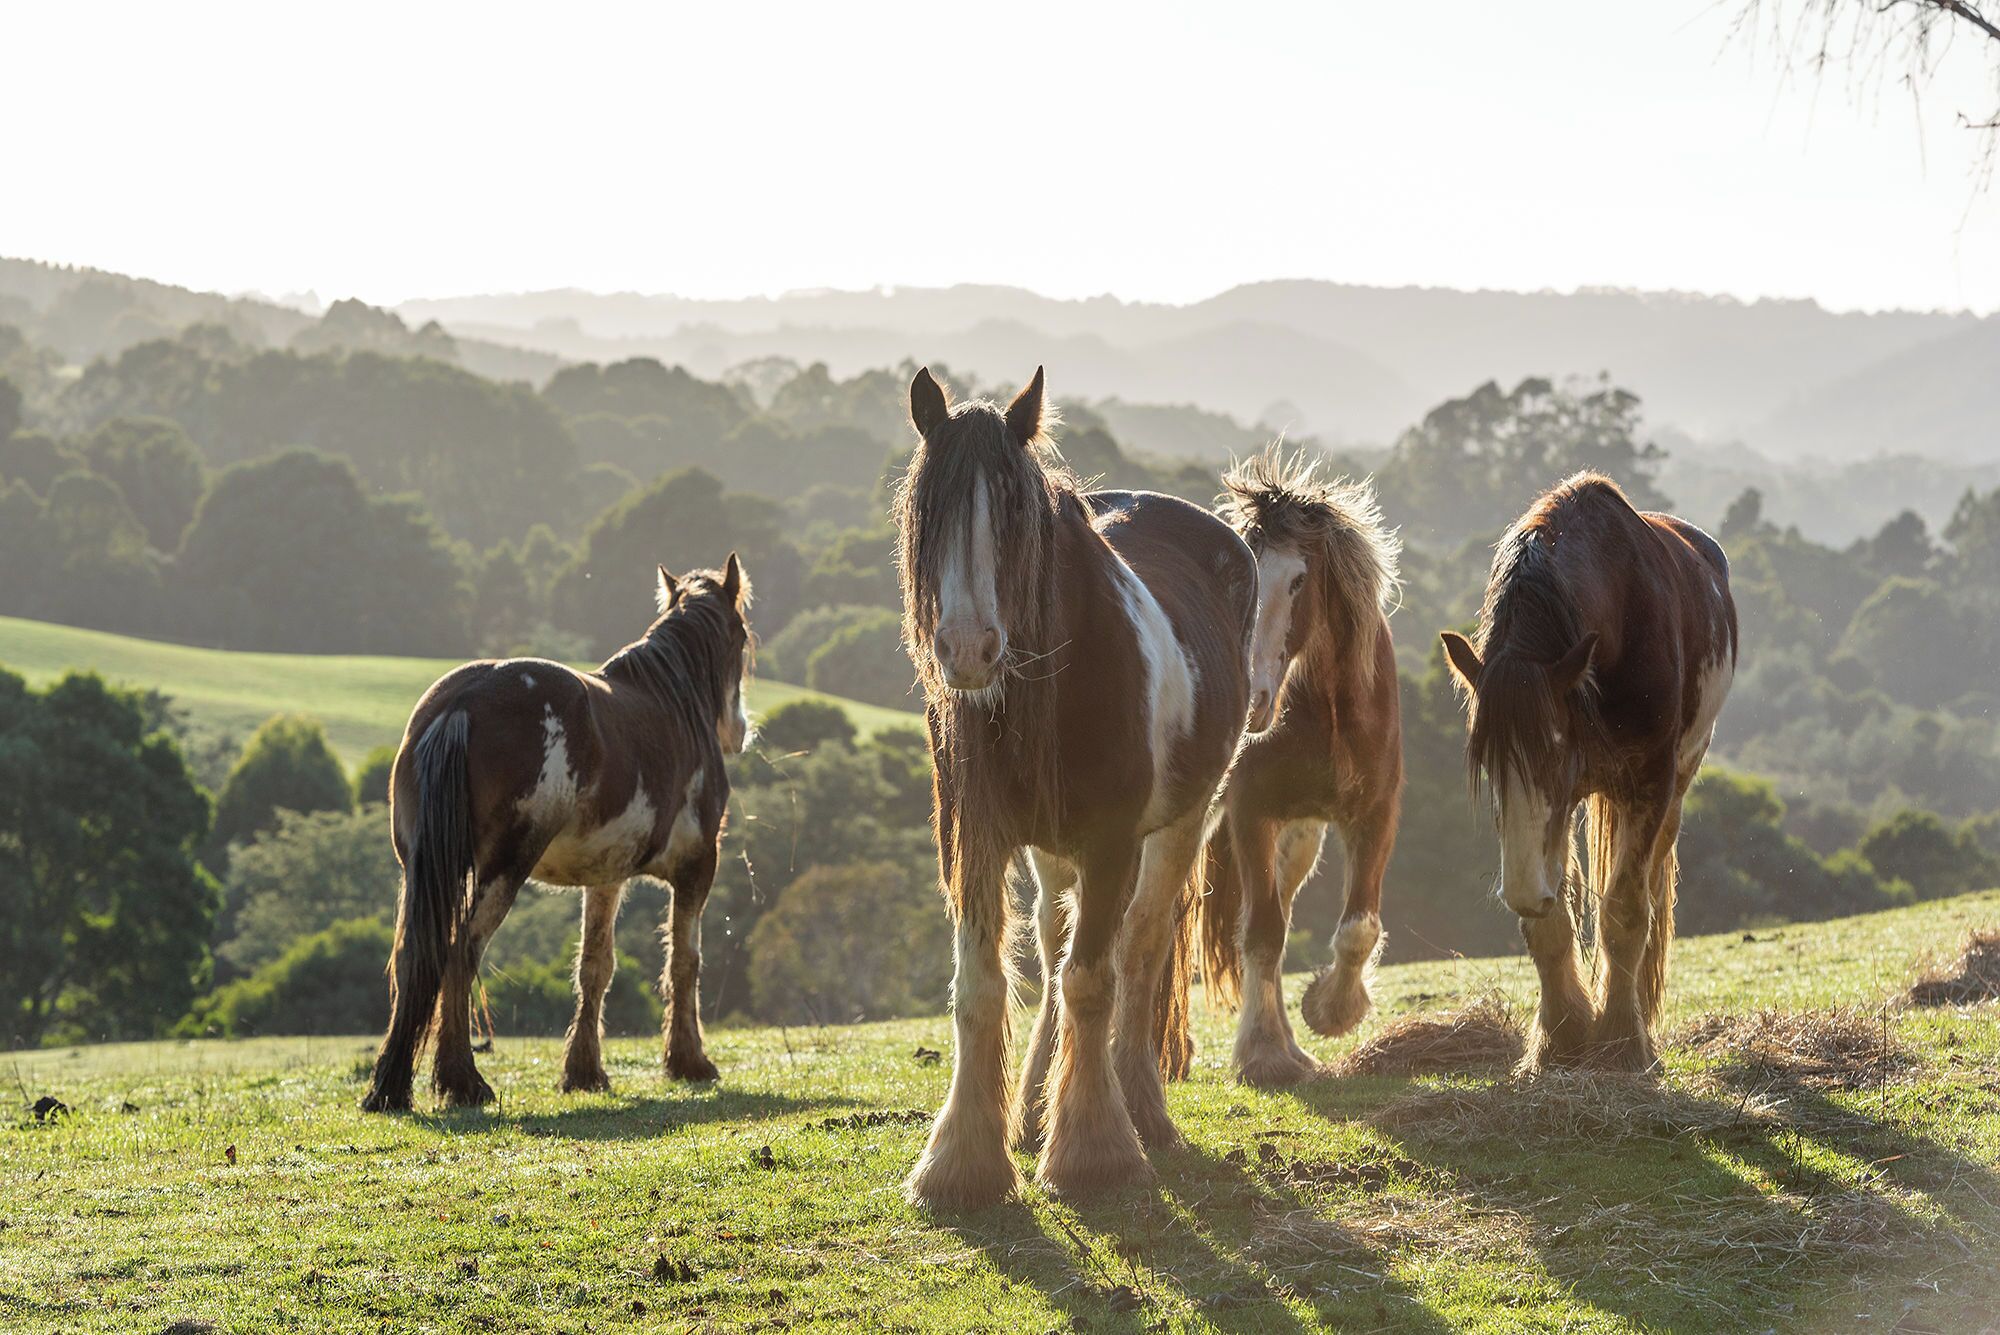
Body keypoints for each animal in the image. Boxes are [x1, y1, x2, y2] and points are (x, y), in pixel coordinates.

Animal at [360, 556, 753, 1112]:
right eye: (741, 636)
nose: (739, 731)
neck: (675, 703)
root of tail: (460, 704)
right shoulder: (698, 868)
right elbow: (684, 962)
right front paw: (689, 1062)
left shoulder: (606, 877)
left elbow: (595, 967)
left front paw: (584, 1072)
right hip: (504, 869)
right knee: (461, 951)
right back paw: (463, 1082)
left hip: (421, 869)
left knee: (416, 958)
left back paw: (393, 1087)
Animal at [894, 365, 1257, 1208]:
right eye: (931, 511)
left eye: (1017, 513)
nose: (967, 649)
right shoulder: (979, 840)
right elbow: (984, 986)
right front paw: (962, 1160)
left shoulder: (1112, 842)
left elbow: (1095, 979)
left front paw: (1096, 1152)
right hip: (1052, 853)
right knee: (1057, 949)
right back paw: (1031, 1111)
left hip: (1182, 823)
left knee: (1139, 951)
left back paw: (1139, 1108)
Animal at [1155, 450, 1404, 1088]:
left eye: (1297, 580)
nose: (1252, 698)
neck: (1328, 712)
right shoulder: (1252, 815)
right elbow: (1262, 934)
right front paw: (1262, 1054)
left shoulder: (1373, 814)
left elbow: (1357, 926)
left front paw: (1331, 1012)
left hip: (1300, 836)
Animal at [1440, 473, 1736, 1072]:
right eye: (1488, 762)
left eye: (1555, 749)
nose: (1520, 890)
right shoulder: (1555, 813)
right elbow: (1551, 918)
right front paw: (1561, 1037)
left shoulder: (1648, 784)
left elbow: (1625, 910)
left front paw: (1622, 1039)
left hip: (1675, 785)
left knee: (1648, 889)